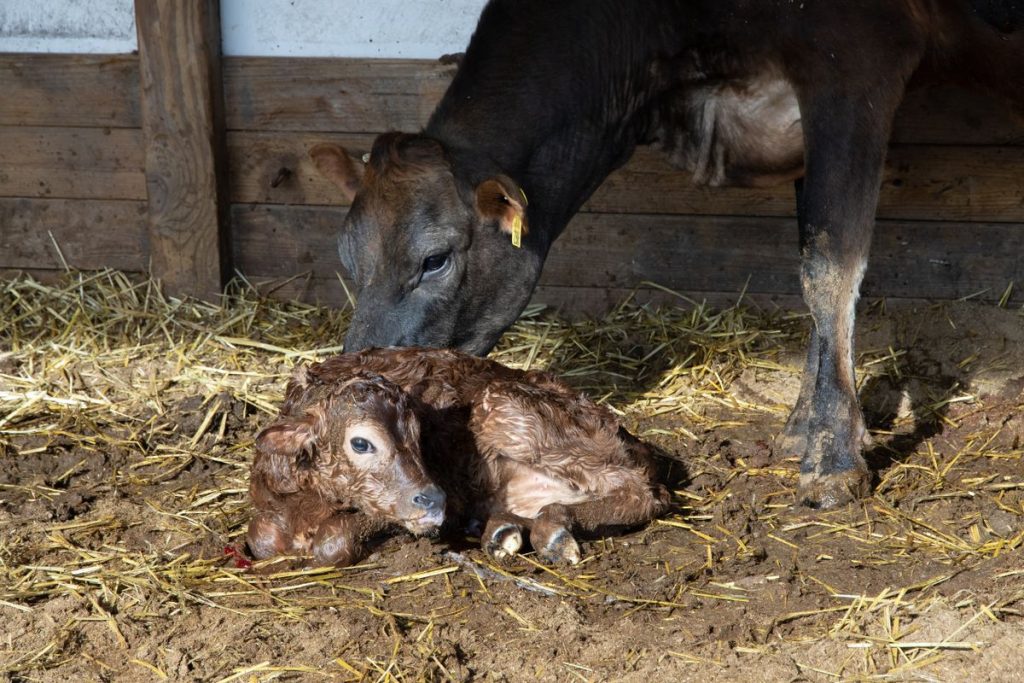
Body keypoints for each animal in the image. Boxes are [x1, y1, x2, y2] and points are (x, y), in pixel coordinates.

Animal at [307, 0, 1024, 509]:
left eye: (434, 260)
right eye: (347, 256)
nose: (352, 375)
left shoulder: (852, 60)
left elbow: (829, 265)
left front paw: (831, 458)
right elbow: (812, 263)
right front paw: (806, 424)